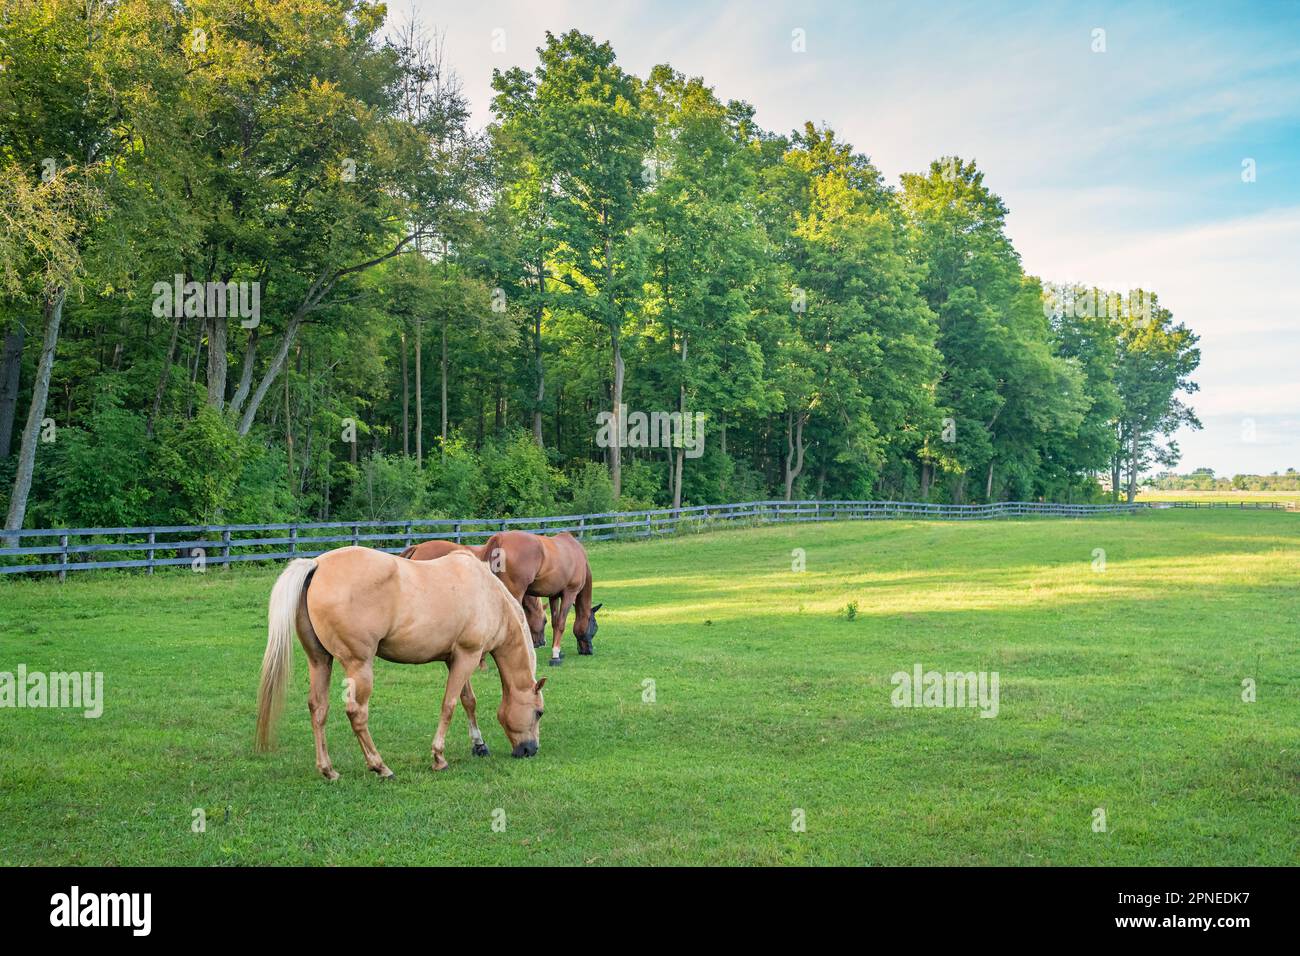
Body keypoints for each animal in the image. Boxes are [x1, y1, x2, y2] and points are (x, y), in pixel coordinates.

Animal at [255, 546, 546, 780]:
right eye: (539, 712)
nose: (530, 750)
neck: (488, 595)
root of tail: (317, 565)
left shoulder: (455, 659)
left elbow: (468, 701)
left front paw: (479, 744)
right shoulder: (467, 656)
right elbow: (449, 705)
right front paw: (439, 757)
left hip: (320, 661)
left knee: (318, 708)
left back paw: (328, 770)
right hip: (359, 666)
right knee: (356, 713)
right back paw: (380, 766)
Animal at [480, 530, 601, 667]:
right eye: (595, 626)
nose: (589, 650)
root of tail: (500, 538)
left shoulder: (554, 596)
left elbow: (555, 623)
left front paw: (558, 651)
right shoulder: (570, 593)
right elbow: (561, 624)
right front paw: (555, 655)